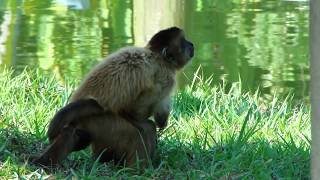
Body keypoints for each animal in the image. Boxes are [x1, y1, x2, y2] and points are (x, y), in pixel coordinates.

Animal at [46, 26, 194, 141]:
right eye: (183, 42)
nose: (191, 44)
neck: (157, 56)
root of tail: (99, 103)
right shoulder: (166, 76)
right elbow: (153, 98)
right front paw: (145, 121)